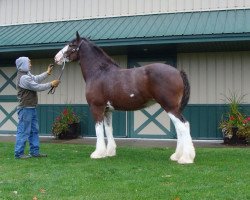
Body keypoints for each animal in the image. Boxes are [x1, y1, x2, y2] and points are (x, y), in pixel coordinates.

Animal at [54, 31, 195, 164]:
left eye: (71, 44)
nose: (56, 58)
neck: (99, 72)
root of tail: (178, 72)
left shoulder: (96, 107)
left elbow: (99, 130)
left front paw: (98, 153)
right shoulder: (107, 110)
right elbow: (108, 129)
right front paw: (109, 152)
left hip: (170, 106)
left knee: (183, 126)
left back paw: (185, 158)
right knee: (180, 127)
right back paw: (177, 156)